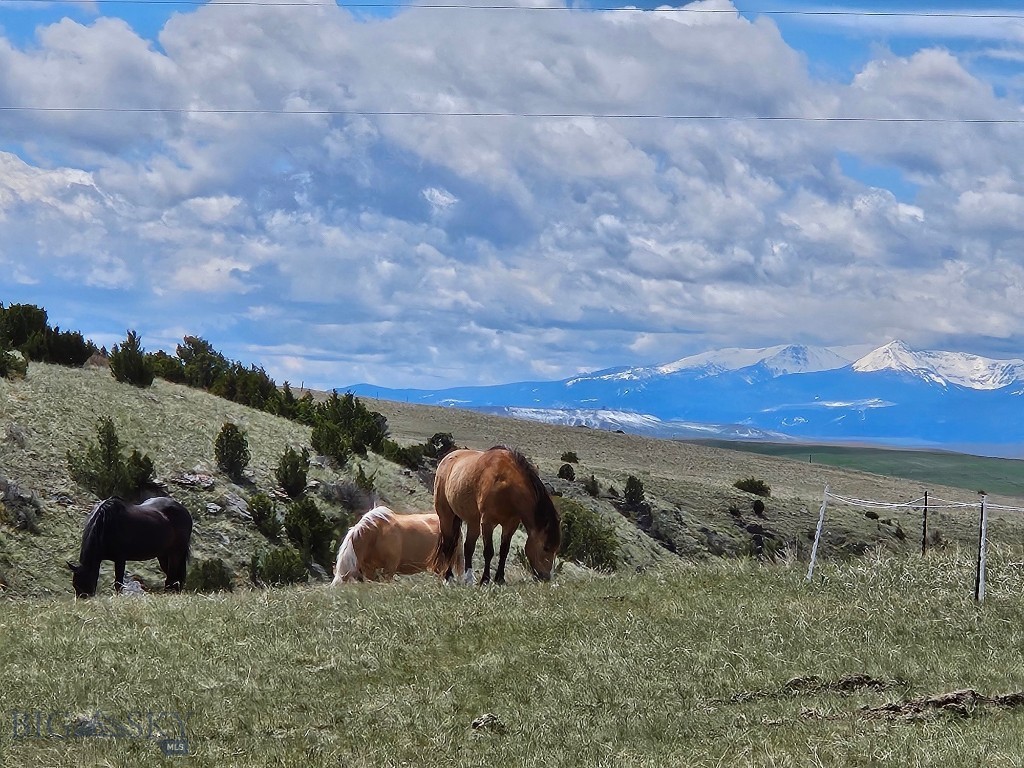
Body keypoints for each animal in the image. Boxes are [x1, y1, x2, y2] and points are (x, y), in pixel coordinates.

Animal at [429, 446, 561, 584]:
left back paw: (469, 579)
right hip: (446, 516)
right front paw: (485, 580)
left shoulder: (510, 525)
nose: (546, 577)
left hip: (472, 521)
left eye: (556, 548)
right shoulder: (487, 522)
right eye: (546, 547)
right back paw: (448, 576)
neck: (506, 485)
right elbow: (488, 551)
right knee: (448, 544)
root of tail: (446, 459)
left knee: (467, 547)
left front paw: (500, 579)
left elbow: (504, 551)